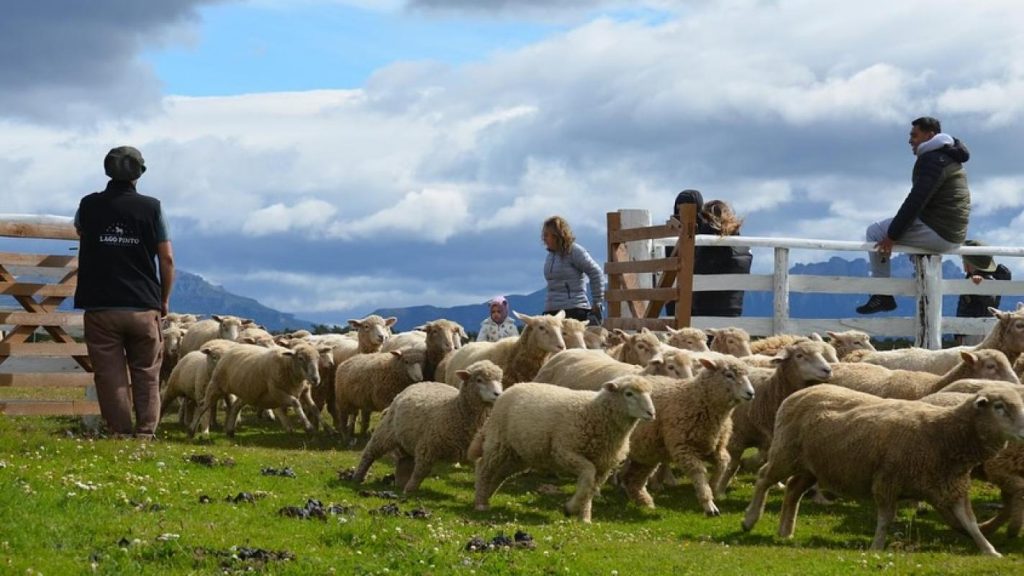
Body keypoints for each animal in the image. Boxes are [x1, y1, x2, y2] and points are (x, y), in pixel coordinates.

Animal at [352, 358, 503, 487]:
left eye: (499, 380)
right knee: (370, 453)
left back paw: (400, 484)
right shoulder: (428, 446)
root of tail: (423, 382)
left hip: (407, 441)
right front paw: (409, 492)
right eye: (479, 380)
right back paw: (358, 477)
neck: (455, 408)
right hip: (386, 432)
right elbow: (420, 472)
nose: (498, 394)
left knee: (404, 462)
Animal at [610, 356, 757, 512]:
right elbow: (698, 471)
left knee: (633, 478)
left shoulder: (712, 446)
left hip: (645, 451)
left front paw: (713, 485)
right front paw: (709, 504)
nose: (751, 393)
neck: (695, 399)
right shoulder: (683, 447)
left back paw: (643, 501)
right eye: (729, 375)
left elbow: (723, 462)